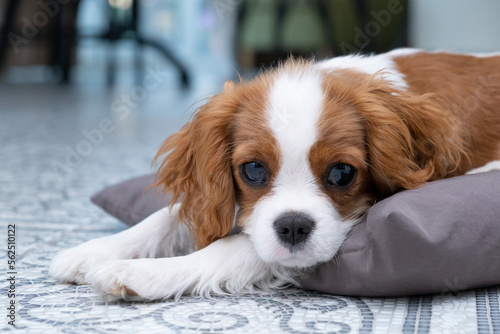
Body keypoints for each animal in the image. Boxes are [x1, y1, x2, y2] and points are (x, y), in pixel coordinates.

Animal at [51, 47, 500, 300]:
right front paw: (95, 250)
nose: (293, 227)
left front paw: (139, 273)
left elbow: (233, 247)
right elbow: (171, 215)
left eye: (342, 173)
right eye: (253, 170)